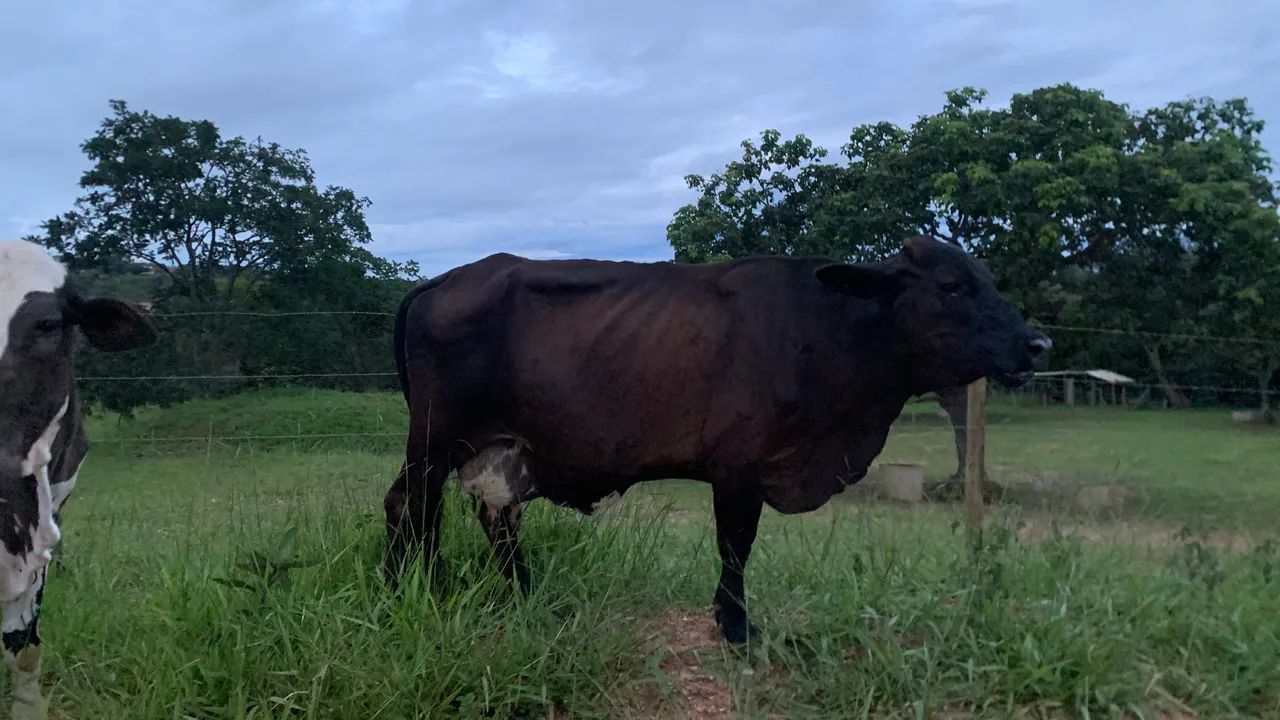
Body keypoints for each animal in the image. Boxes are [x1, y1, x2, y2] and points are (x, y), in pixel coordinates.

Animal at [383, 235, 1050, 644]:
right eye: (953, 285)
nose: (1038, 343)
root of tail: (447, 278)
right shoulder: (739, 466)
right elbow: (736, 545)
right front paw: (735, 626)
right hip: (435, 440)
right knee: (407, 505)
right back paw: (403, 591)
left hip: (497, 448)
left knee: (488, 517)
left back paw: (521, 593)